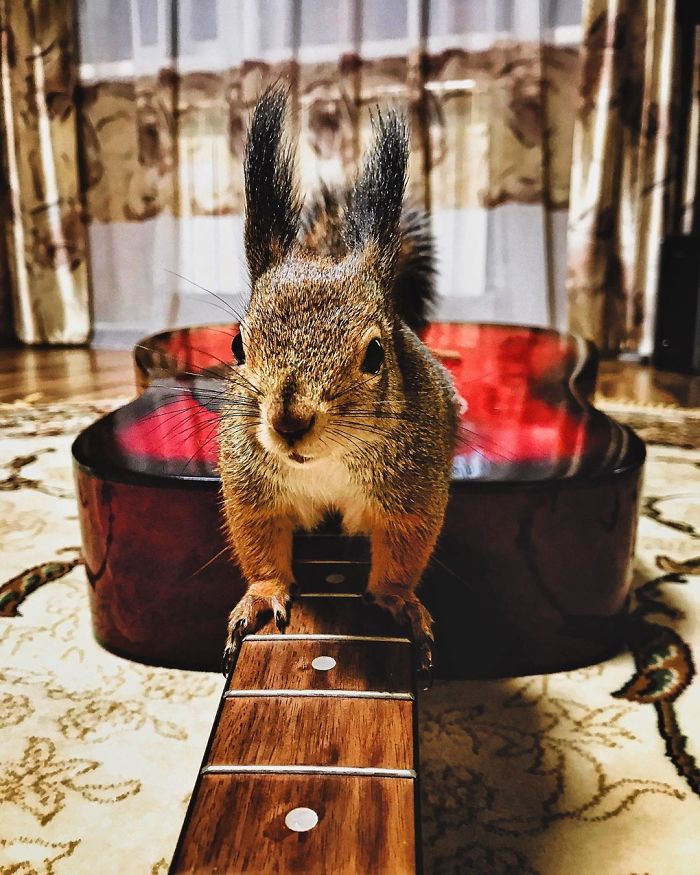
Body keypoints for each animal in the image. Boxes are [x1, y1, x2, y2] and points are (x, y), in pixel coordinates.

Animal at [219, 85, 459, 675]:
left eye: (375, 354)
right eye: (237, 346)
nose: (289, 422)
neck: (326, 463)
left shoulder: (414, 490)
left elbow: (404, 549)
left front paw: (397, 603)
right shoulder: (250, 486)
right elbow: (258, 541)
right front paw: (262, 597)